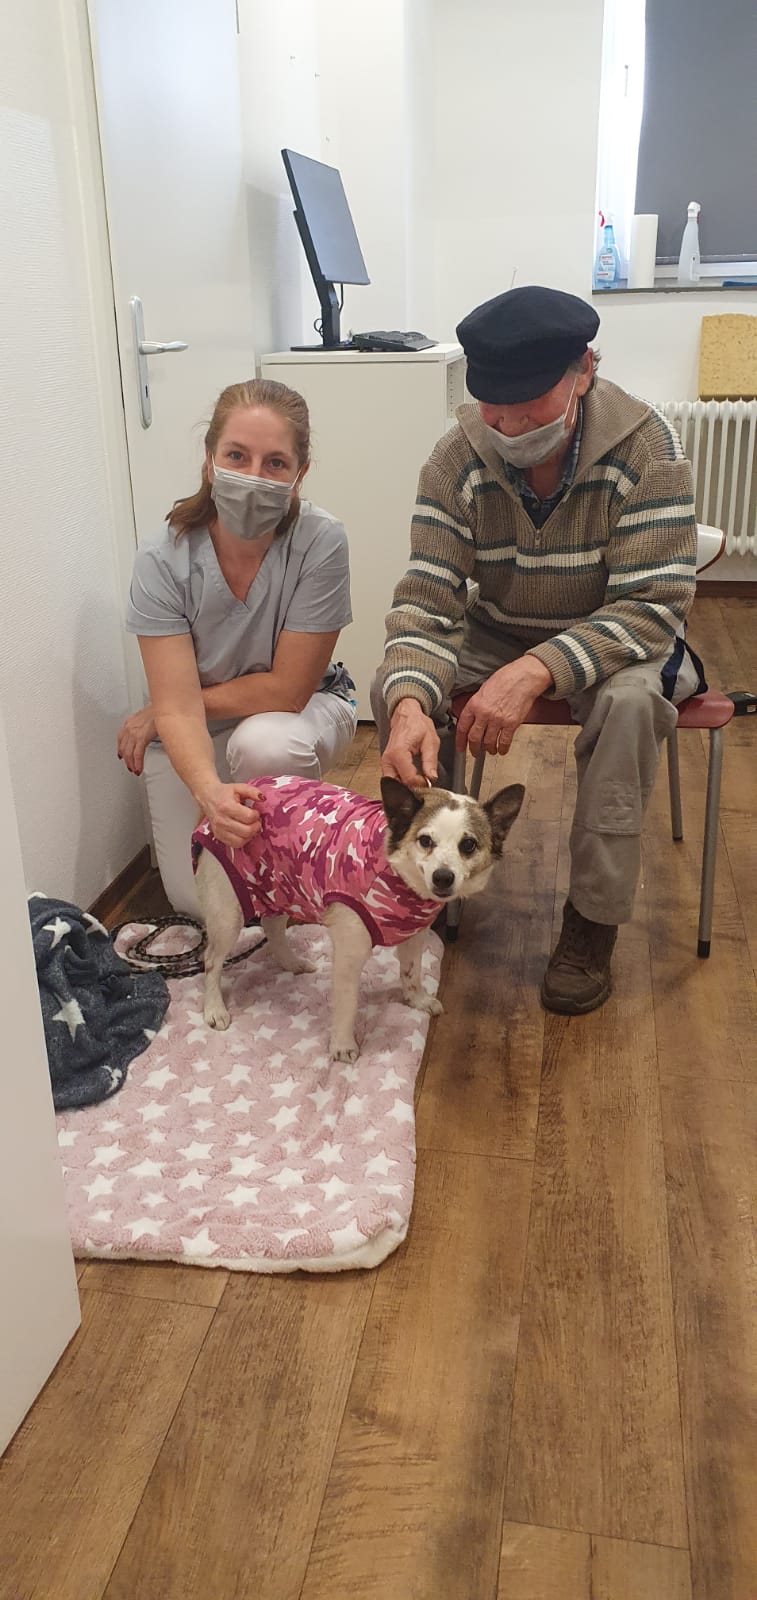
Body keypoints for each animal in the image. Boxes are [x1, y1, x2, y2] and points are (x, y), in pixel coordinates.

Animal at [193, 774, 524, 1062]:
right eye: (425, 841)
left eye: (468, 845)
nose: (443, 877)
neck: (396, 874)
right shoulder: (349, 956)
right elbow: (348, 1004)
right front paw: (342, 1045)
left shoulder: (413, 938)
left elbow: (412, 973)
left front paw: (415, 1000)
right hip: (228, 914)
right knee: (211, 960)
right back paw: (214, 1007)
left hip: (281, 884)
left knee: (272, 926)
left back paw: (291, 962)